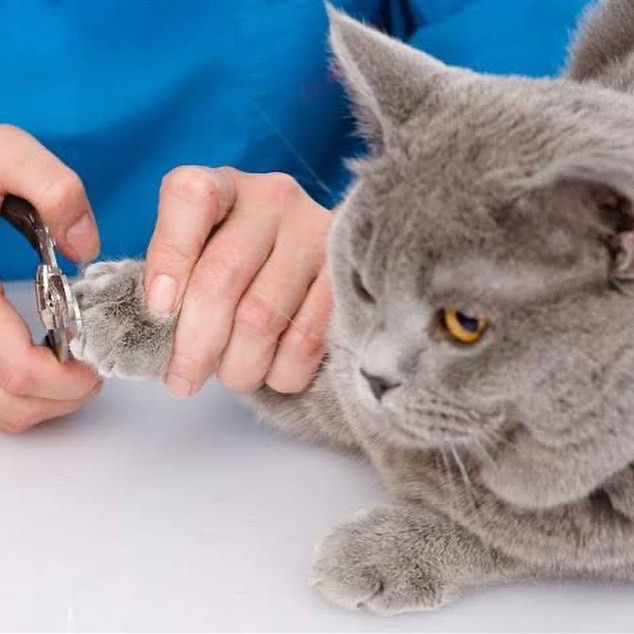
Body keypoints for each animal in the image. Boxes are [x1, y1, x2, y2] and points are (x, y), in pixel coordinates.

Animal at [70, 0, 634, 612]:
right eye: (363, 284)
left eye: (467, 323)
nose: (375, 376)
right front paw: (126, 308)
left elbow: (529, 540)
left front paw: (385, 553)